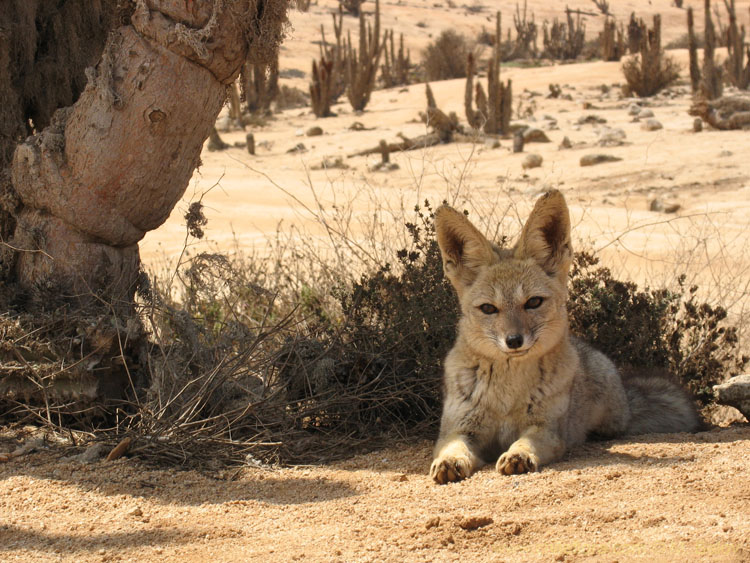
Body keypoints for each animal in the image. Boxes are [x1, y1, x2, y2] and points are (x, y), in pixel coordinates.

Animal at [432, 191, 704, 484]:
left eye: (533, 302)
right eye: (488, 309)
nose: (514, 341)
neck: (507, 393)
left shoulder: (547, 429)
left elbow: (525, 442)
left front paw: (518, 456)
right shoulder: (459, 428)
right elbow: (452, 447)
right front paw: (449, 461)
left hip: (606, 420)